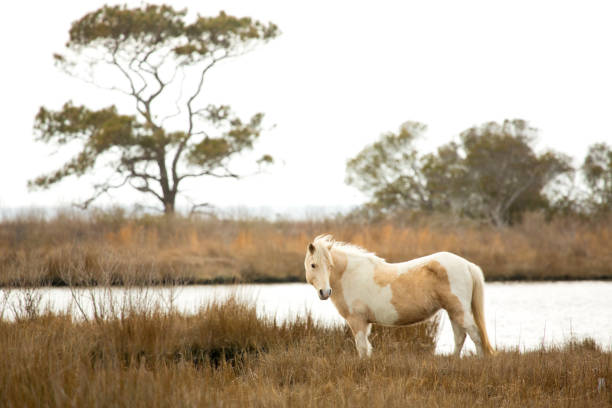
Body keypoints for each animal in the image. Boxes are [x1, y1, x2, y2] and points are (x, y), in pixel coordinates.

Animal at [304, 236, 494, 356]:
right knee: (460, 338)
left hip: (459, 311)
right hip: (454, 312)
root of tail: (467, 265)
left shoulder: (357, 321)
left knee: (476, 336)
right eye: (313, 265)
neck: (350, 274)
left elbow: (362, 348)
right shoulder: (365, 323)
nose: (325, 292)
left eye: (330, 266)